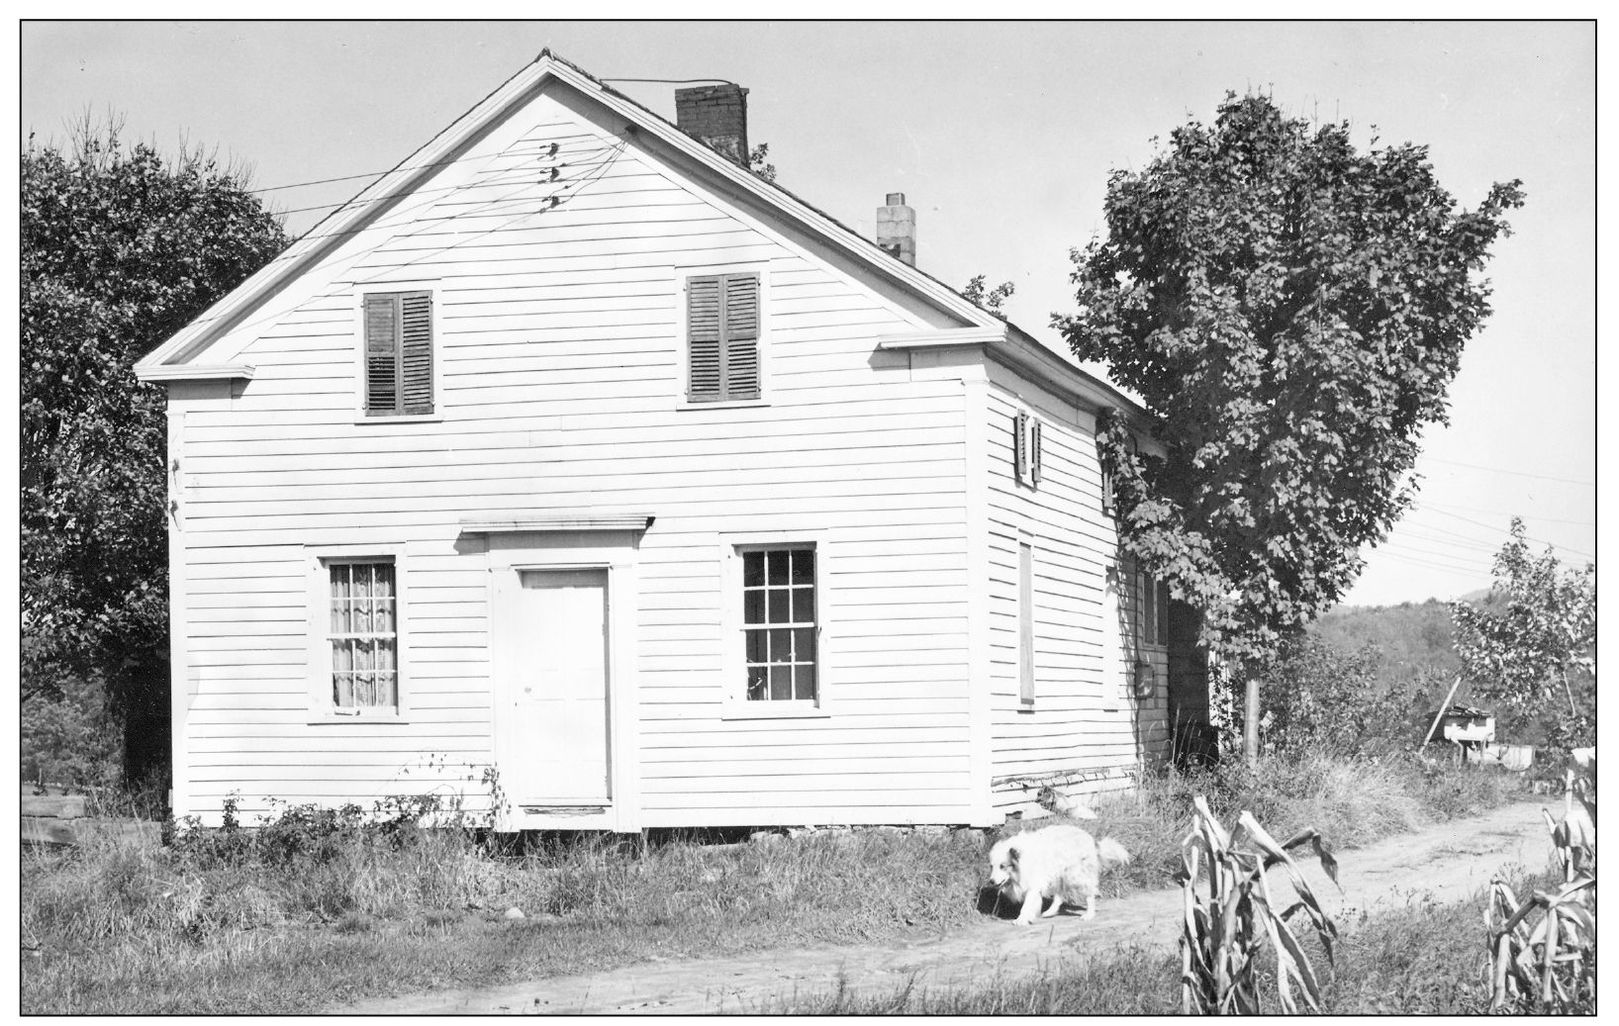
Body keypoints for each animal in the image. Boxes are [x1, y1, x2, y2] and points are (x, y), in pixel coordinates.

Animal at [977, 818, 1133, 925]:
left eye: (1003, 866)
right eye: (992, 866)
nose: (991, 881)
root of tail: (1090, 839)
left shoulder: (1033, 884)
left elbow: (1027, 904)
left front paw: (1021, 919)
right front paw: (1029, 917)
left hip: (1074, 874)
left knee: (1089, 893)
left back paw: (1089, 914)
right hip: (1060, 874)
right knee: (1060, 895)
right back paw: (1050, 912)